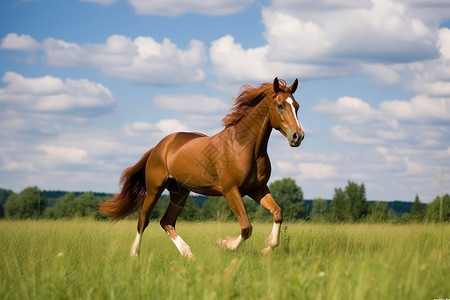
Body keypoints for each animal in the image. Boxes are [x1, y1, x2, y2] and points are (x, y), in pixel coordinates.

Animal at [100, 77, 304, 258]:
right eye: (280, 105)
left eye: (297, 106)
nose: (298, 136)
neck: (244, 147)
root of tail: (159, 147)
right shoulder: (231, 190)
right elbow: (246, 227)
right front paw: (223, 244)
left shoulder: (257, 189)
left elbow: (277, 213)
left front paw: (268, 248)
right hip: (154, 189)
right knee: (143, 219)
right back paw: (135, 254)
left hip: (179, 192)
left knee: (166, 221)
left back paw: (188, 254)